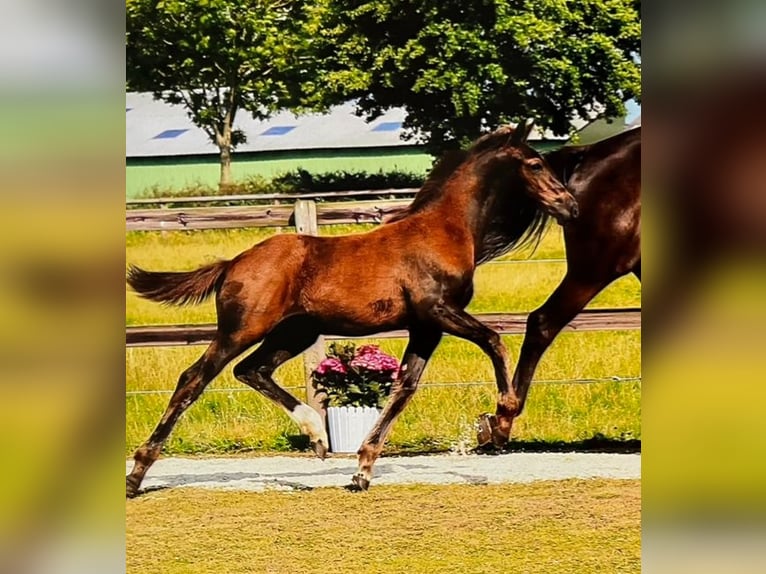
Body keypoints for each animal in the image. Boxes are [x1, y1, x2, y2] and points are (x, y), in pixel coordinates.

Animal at [127, 119, 576, 498]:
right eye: (535, 163)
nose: (570, 206)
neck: (444, 230)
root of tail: (233, 263)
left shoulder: (425, 327)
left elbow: (403, 387)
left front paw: (362, 471)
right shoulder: (437, 310)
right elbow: (493, 339)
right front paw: (502, 419)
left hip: (295, 332)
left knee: (251, 370)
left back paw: (317, 434)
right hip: (242, 329)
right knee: (194, 378)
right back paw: (136, 475)